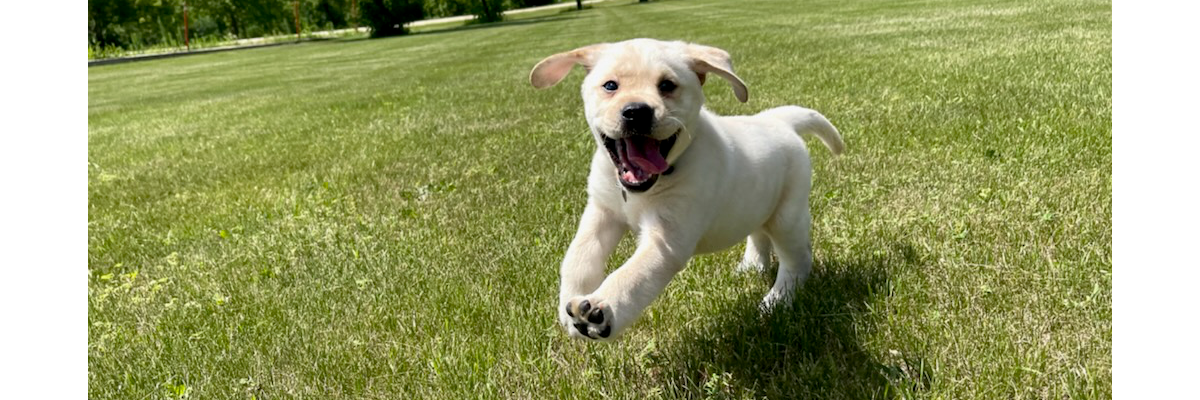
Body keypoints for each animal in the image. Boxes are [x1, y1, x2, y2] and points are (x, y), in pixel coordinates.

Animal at [525, 38, 844, 338]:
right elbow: (578, 255)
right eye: (611, 86)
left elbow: (632, 275)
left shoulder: (667, 239)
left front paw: (601, 310)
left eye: (667, 85)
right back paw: (753, 266)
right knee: (758, 234)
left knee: (797, 261)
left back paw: (777, 301)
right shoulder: (602, 211)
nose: (637, 112)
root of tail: (779, 120)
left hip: (787, 216)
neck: (646, 188)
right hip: (757, 203)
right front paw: (569, 303)